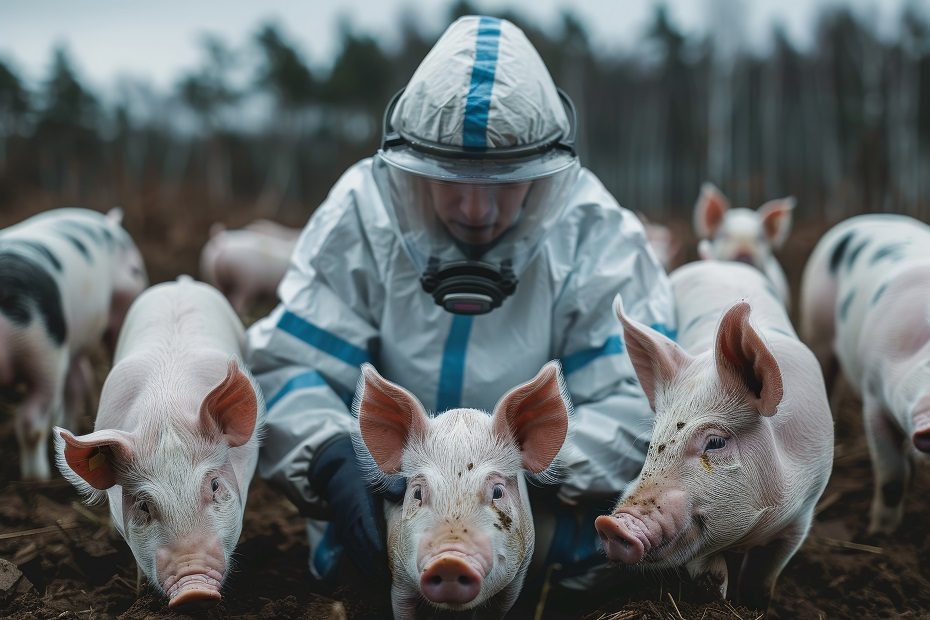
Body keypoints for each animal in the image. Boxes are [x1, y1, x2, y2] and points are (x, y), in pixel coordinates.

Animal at [0, 208, 147, 480]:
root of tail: (108, 222)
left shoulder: (45, 351)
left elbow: (31, 423)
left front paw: (36, 478)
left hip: (125, 302)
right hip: (75, 342)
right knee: (78, 381)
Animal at [596, 260, 832, 612]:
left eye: (716, 442)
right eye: (652, 443)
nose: (613, 524)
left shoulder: (801, 515)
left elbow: (764, 576)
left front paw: (755, 605)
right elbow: (709, 573)